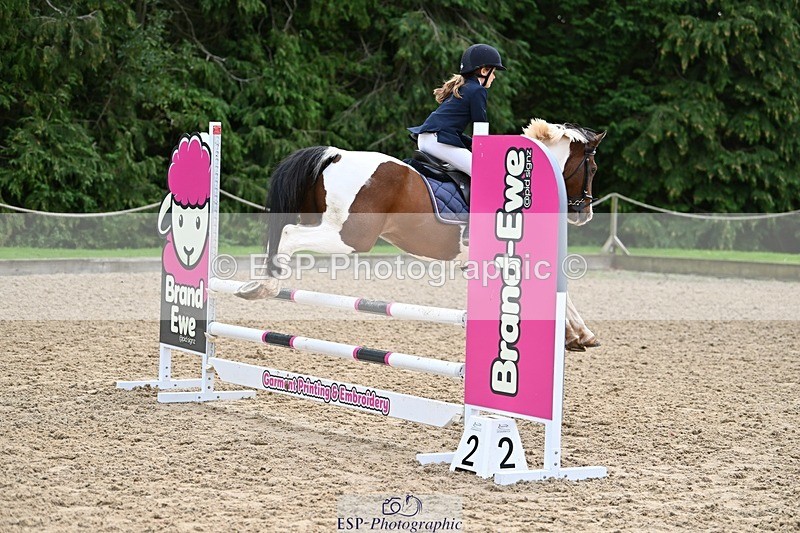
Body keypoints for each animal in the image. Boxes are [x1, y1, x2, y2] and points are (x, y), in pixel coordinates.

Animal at [236, 119, 606, 351]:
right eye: (592, 168)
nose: (584, 213)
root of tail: (335, 155)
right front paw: (581, 334)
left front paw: (578, 336)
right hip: (350, 237)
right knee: (288, 234)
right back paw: (266, 285)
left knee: (283, 232)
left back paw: (255, 284)